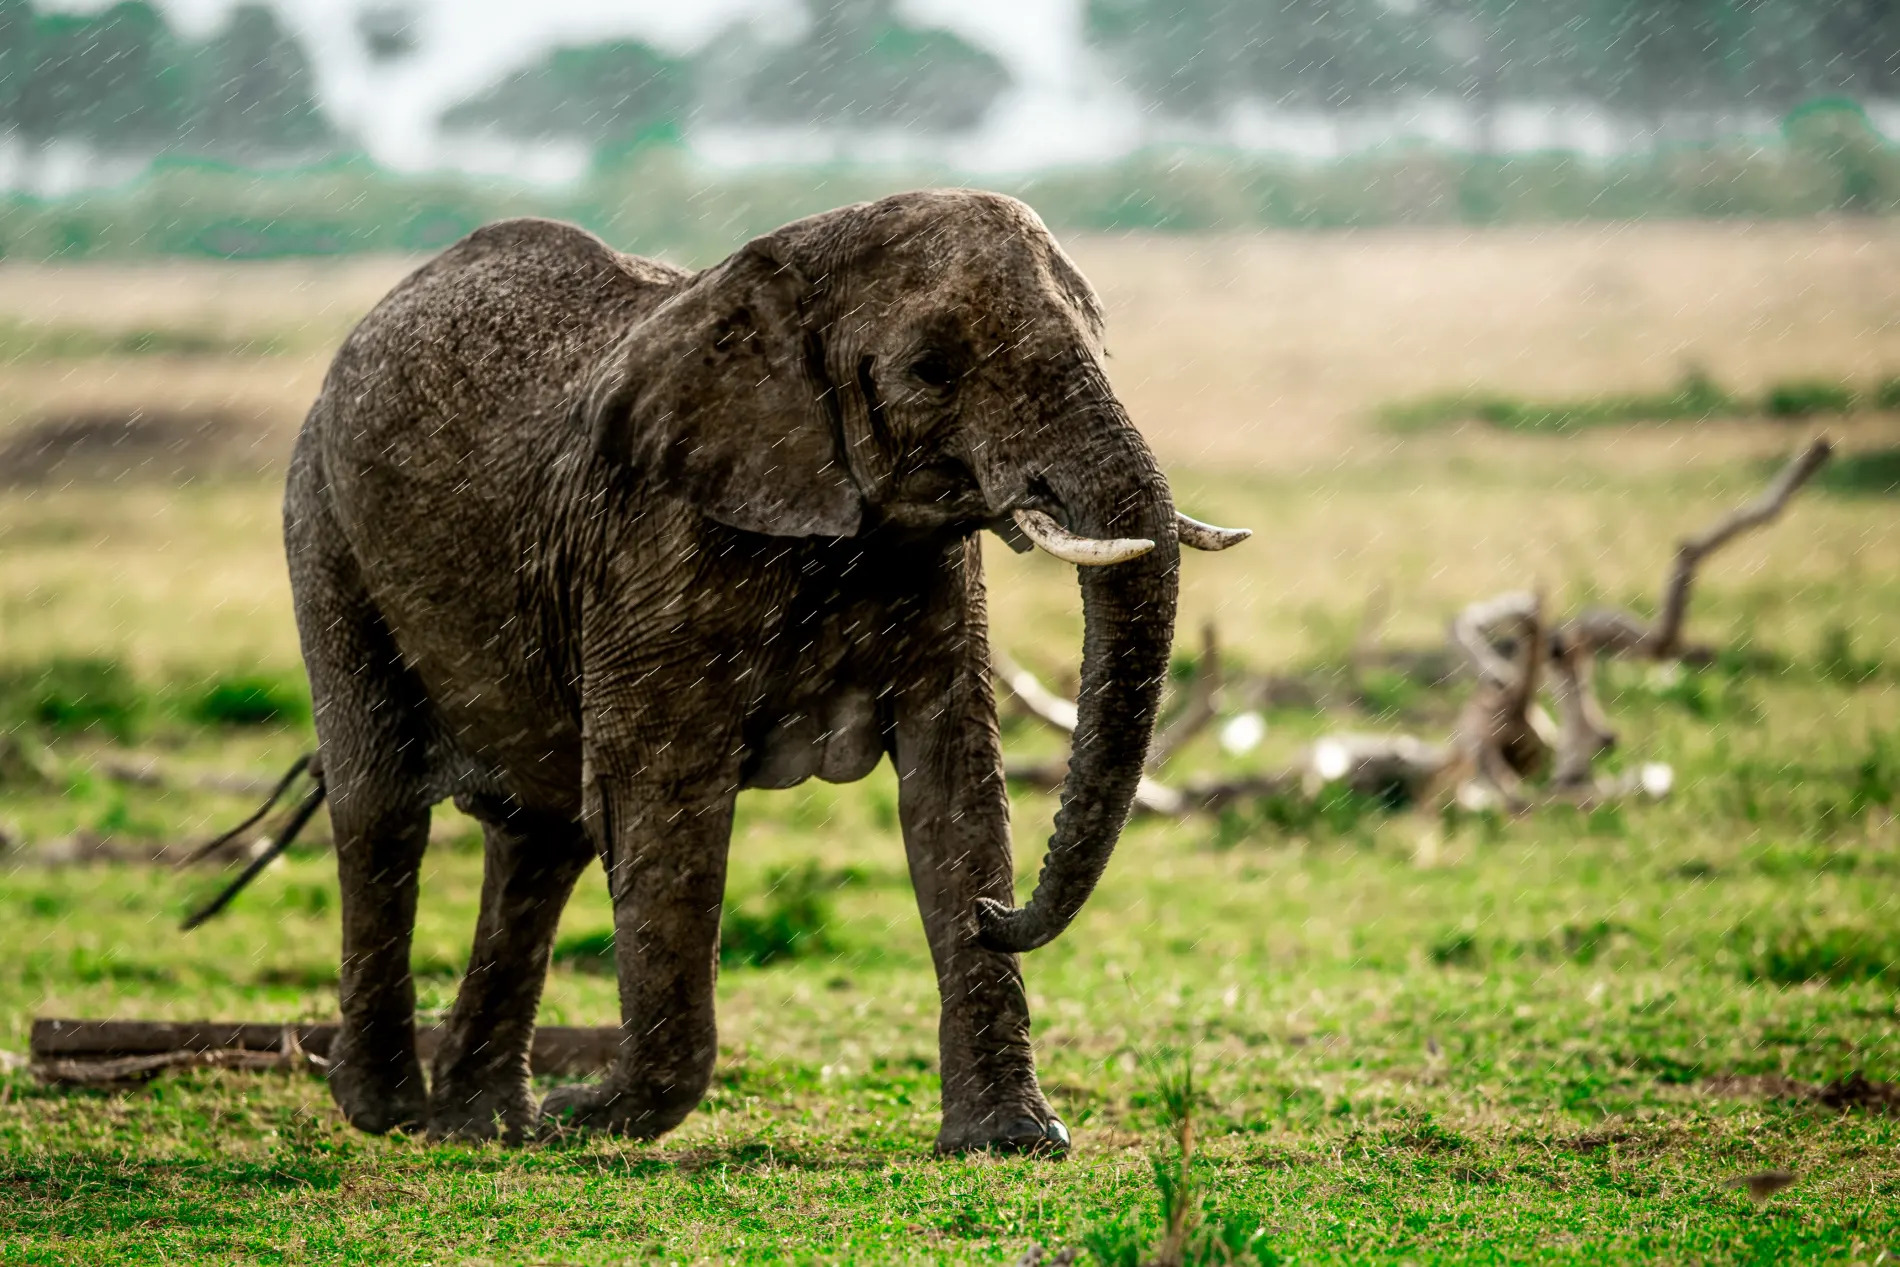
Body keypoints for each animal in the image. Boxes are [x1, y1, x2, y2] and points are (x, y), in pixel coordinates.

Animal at [285, 190, 1246, 1162]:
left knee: (540, 837)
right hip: (322, 524)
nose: (995, 911)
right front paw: (592, 1118)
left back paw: (482, 1124)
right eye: (932, 370)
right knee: (382, 806)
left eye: (1100, 341)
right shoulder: (652, 548)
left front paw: (1010, 1138)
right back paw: (392, 1111)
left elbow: (954, 784)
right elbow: (664, 804)